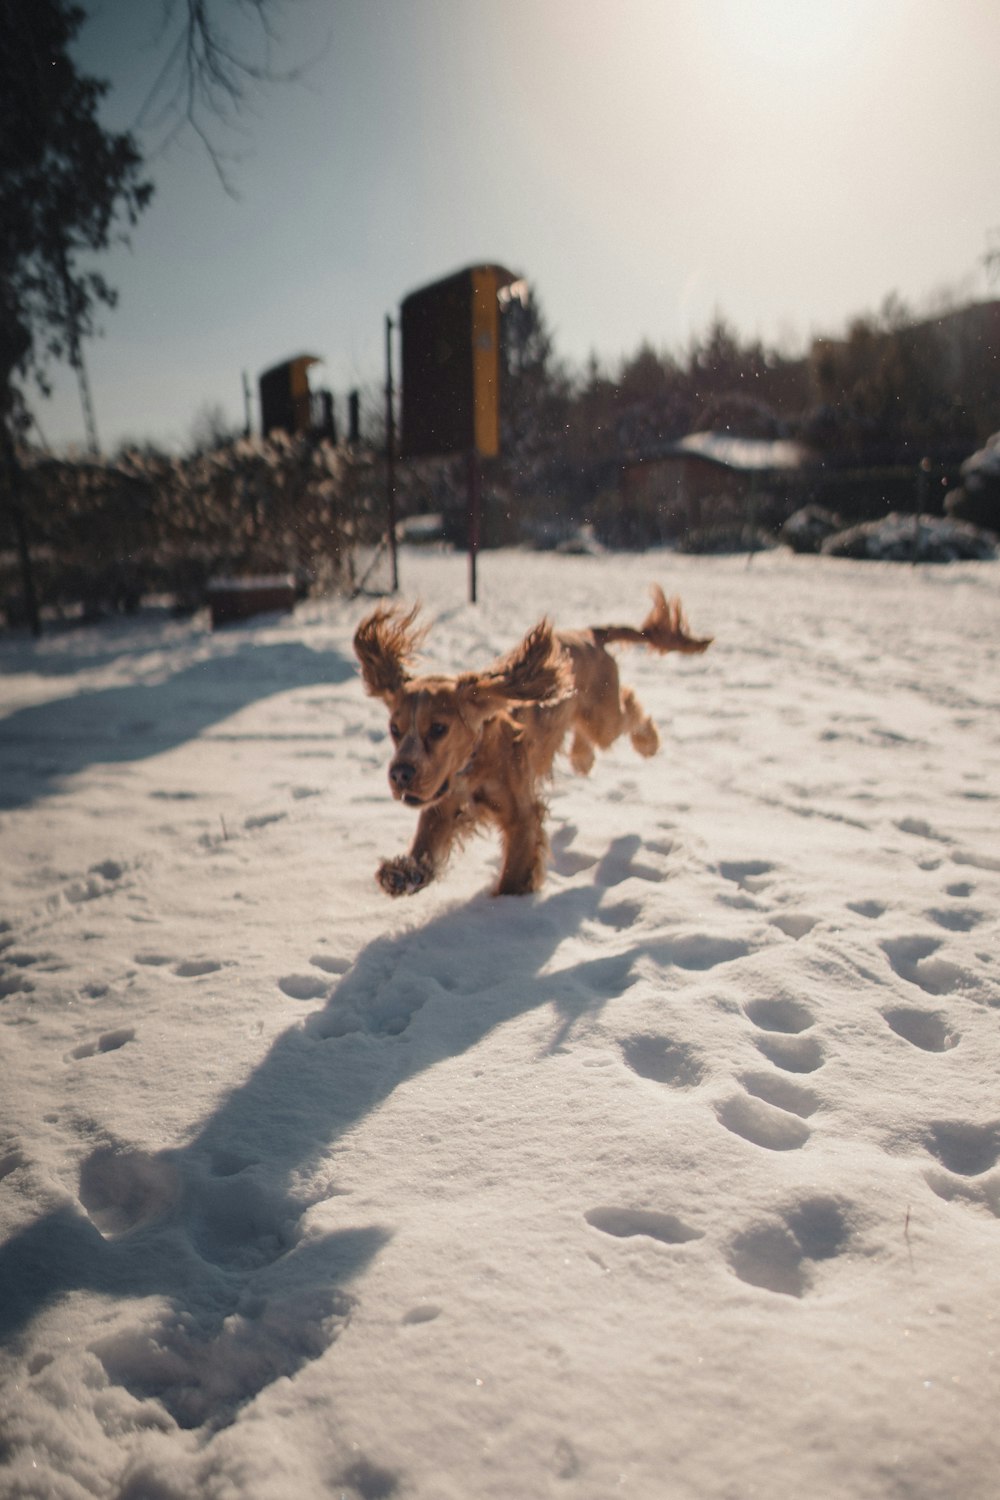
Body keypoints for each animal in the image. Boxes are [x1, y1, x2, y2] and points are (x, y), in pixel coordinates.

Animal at [353, 582, 710, 888]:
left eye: (439, 728)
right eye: (394, 730)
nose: (400, 774)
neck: (474, 761)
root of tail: (590, 633)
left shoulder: (521, 816)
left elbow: (514, 872)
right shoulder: (442, 803)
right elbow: (425, 846)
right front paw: (401, 875)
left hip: (602, 717)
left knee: (629, 706)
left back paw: (648, 742)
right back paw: (582, 758)